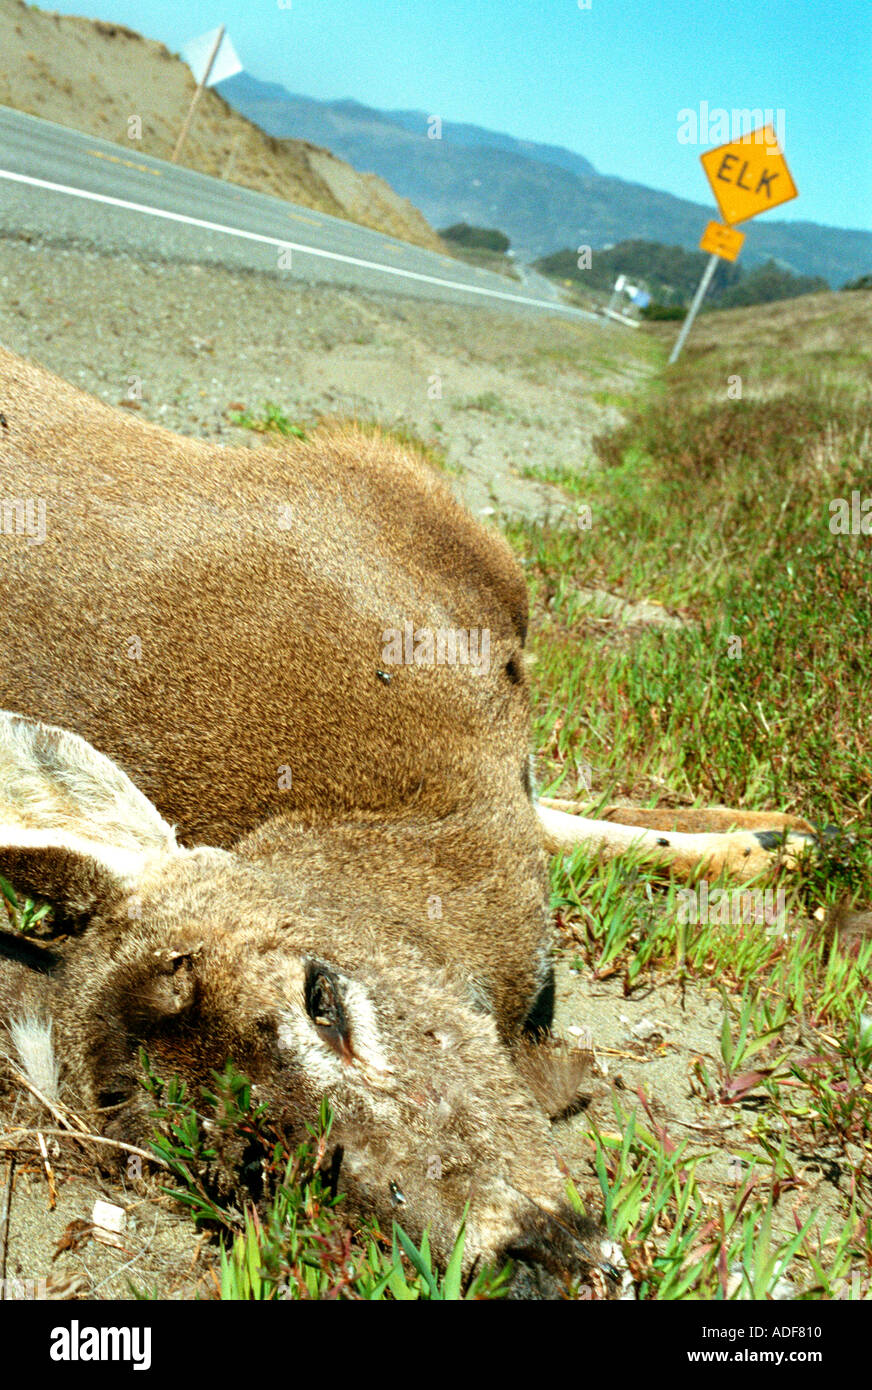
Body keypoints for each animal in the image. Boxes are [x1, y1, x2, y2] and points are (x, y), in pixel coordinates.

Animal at [0, 344, 817, 1289]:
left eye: (322, 997)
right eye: (255, 1169)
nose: (534, 1266)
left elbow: (570, 810)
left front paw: (782, 833)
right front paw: (776, 843)